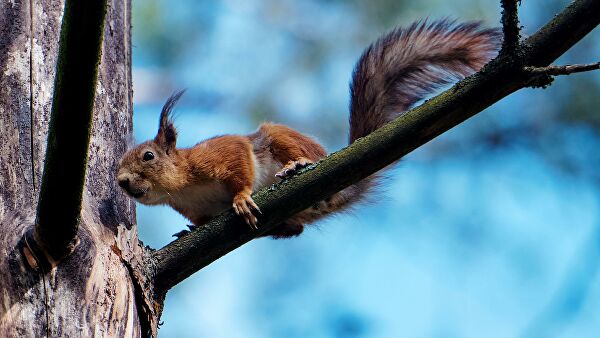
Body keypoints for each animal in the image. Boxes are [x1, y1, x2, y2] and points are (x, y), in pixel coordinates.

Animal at [117, 19, 502, 239]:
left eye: (148, 156)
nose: (121, 182)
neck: (183, 186)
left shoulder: (219, 154)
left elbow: (240, 164)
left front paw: (240, 198)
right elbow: (197, 220)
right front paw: (187, 231)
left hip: (279, 137)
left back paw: (298, 165)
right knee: (296, 229)